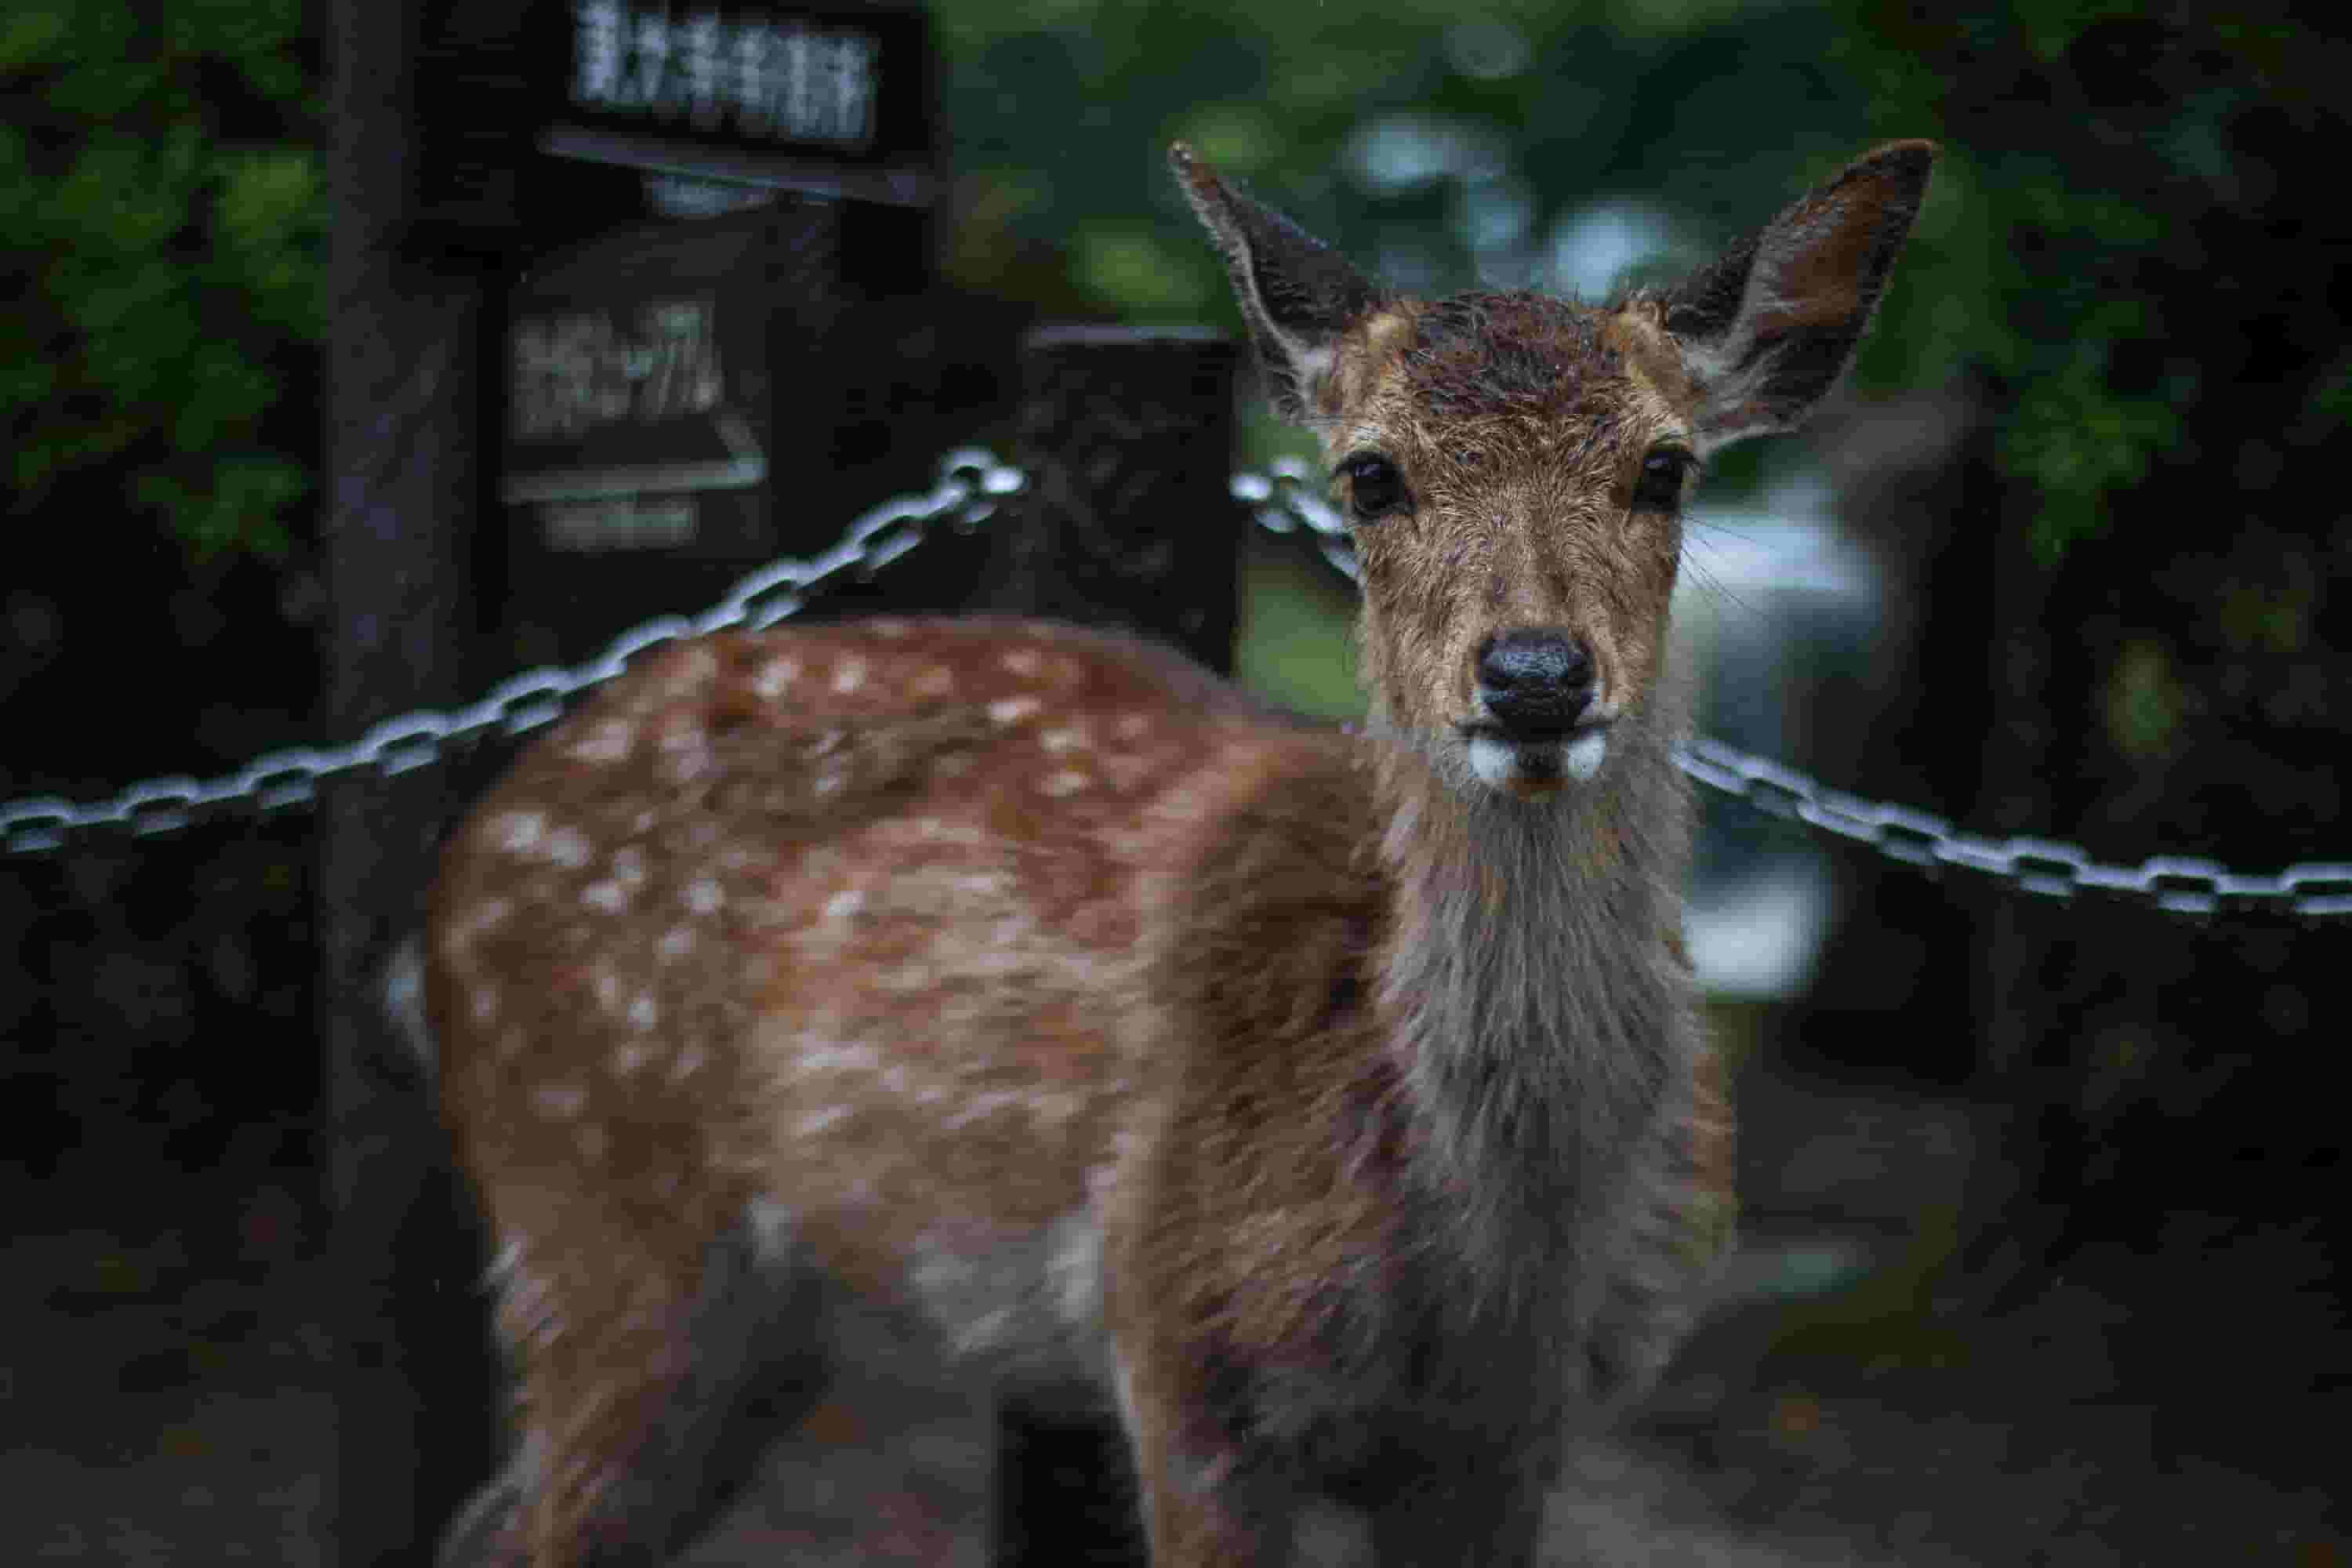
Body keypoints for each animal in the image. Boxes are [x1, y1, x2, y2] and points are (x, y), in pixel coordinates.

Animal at [423, 138, 1929, 1568]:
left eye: (1665, 467)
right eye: (1369, 474)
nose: (1536, 677)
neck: (1498, 1263)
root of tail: (466, 855)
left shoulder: (1518, 1433)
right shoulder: (1176, 1338)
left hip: (742, 1314)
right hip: (587, 1195)